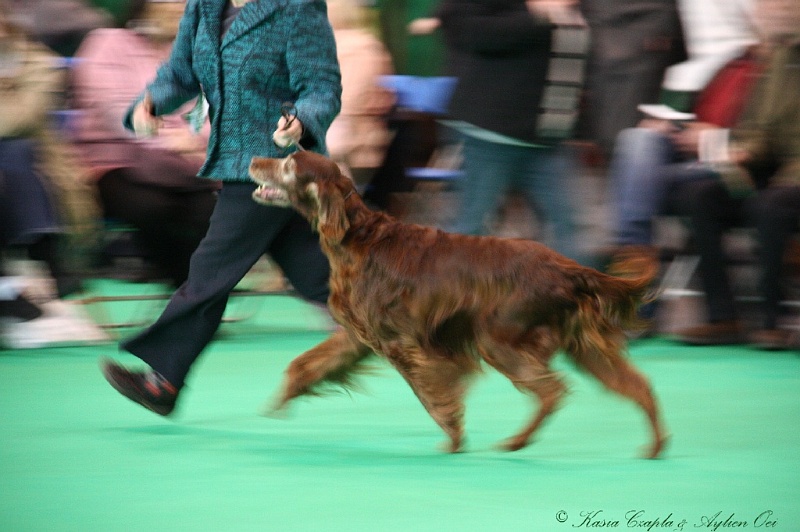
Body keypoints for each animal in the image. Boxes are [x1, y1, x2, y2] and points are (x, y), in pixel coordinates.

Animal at [252, 150, 668, 458]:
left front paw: (453, 436)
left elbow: (432, 394)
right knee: (637, 384)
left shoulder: (401, 344)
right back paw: (655, 446)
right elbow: (306, 365)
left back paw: (517, 442)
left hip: (497, 338)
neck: (357, 237)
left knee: (553, 391)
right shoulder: (358, 336)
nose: (254, 160)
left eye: (289, 165)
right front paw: (279, 403)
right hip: (582, 345)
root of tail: (569, 268)